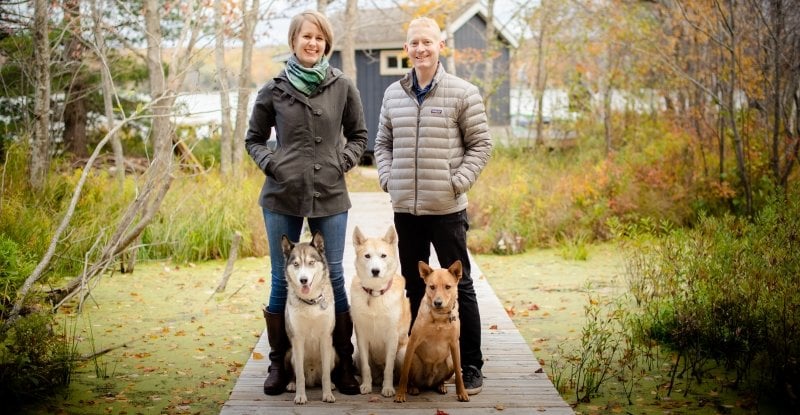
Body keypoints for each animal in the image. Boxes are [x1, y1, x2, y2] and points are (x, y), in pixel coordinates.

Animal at [352, 226, 412, 398]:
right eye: (367, 256)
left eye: (383, 256)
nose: (375, 271)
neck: (375, 293)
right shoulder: (362, 337)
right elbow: (366, 367)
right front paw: (366, 385)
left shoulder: (392, 337)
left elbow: (389, 368)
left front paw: (388, 388)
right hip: (357, 354)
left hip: (403, 352)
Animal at [394, 260, 468, 404]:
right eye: (432, 287)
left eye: (447, 287)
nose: (437, 302)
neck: (439, 317)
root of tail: (428, 382)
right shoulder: (413, 341)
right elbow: (404, 374)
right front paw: (400, 394)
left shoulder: (454, 344)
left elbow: (459, 374)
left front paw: (462, 393)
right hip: (414, 360)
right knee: (411, 379)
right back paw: (413, 388)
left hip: (449, 361)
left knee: (441, 380)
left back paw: (441, 386)